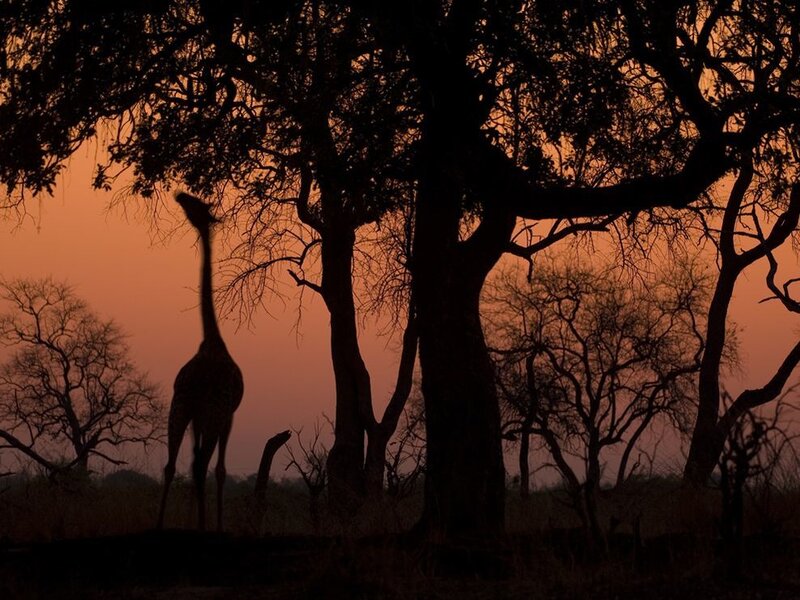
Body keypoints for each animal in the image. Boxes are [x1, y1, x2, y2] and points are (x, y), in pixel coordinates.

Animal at [157, 192, 244, 532]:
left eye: (197, 205)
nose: (180, 194)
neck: (211, 339)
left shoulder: (198, 413)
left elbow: (195, 464)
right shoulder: (227, 414)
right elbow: (217, 470)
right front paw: (213, 525)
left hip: (180, 407)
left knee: (172, 465)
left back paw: (159, 524)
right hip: (209, 412)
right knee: (201, 464)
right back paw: (205, 527)